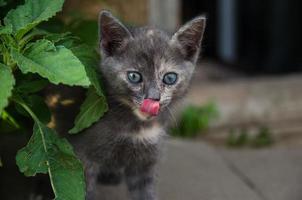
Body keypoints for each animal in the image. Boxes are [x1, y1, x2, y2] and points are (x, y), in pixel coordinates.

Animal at [69, 10, 205, 200]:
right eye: (134, 76)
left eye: (170, 78)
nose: (153, 99)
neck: (137, 127)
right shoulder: (82, 157)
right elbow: (81, 189)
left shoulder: (146, 162)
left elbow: (144, 193)